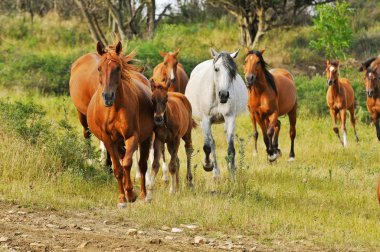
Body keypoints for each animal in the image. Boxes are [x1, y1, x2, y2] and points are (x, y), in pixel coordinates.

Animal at [86, 41, 154, 207]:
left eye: (117, 68)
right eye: (99, 68)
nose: (108, 97)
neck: (114, 109)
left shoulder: (132, 136)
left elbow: (128, 163)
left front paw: (131, 194)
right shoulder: (108, 139)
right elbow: (118, 168)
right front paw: (122, 197)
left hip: (146, 138)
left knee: (142, 165)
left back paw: (143, 194)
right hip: (117, 142)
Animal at [185, 47, 248, 177]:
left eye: (232, 71)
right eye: (216, 69)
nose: (224, 95)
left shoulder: (230, 118)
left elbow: (231, 150)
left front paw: (233, 176)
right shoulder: (206, 120)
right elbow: (207, 147)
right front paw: (207, 166)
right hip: (202, 122)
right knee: (211, 143)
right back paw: (215, 173)